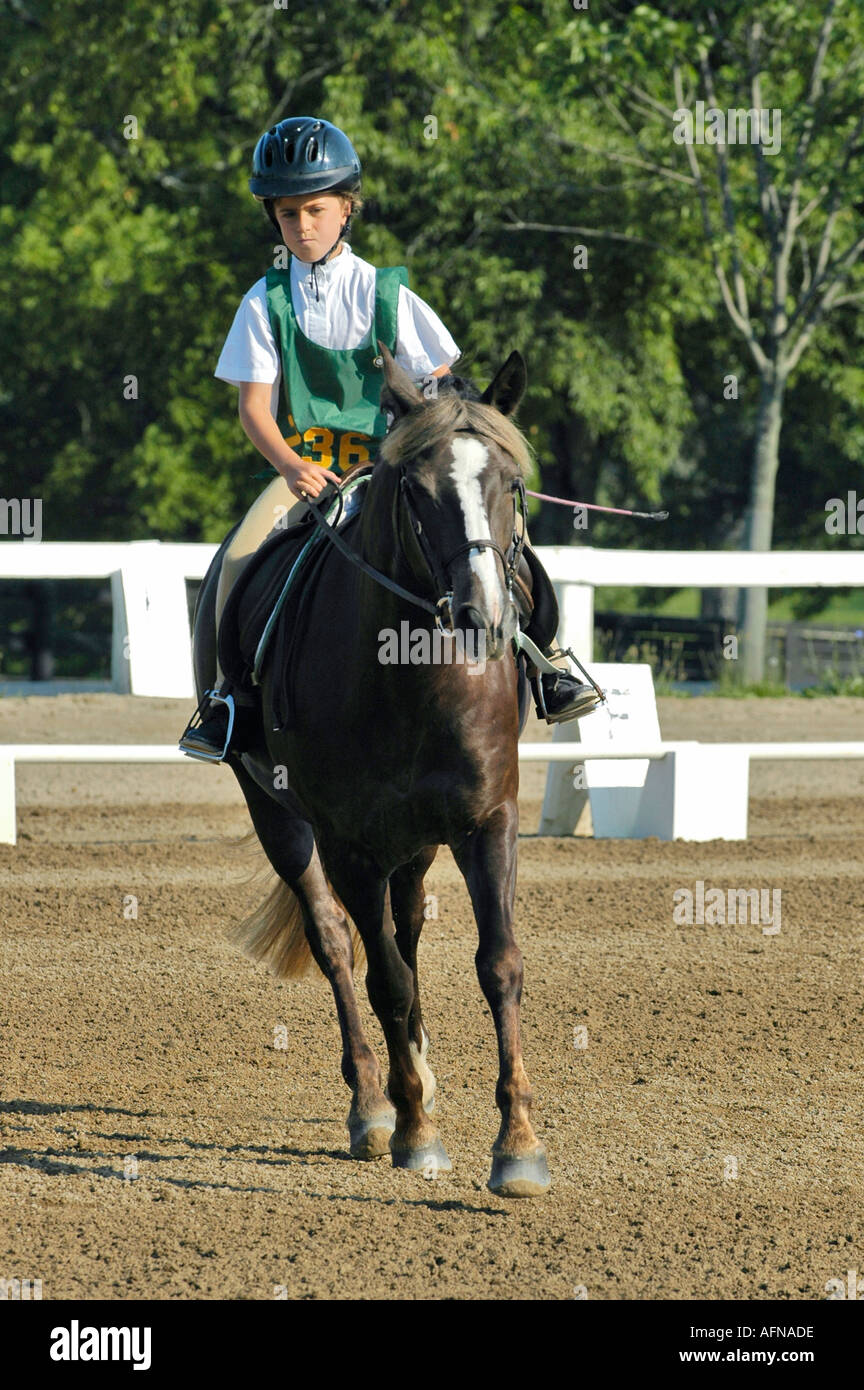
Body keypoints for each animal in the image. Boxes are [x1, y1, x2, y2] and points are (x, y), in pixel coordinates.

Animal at [191, 345, 550, 1197]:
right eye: (417, 491)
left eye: (511, 484)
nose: (483, 618)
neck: (413, 675)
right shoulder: (349, 845)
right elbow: (381, 974)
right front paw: (414, 1129)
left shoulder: (488, 821)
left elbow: (499, 964)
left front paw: (518, 1145)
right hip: (280, 816)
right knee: (338, 943)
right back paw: (374, 1103)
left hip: (416, 841)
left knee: (408, 927)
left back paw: (416, 1067)